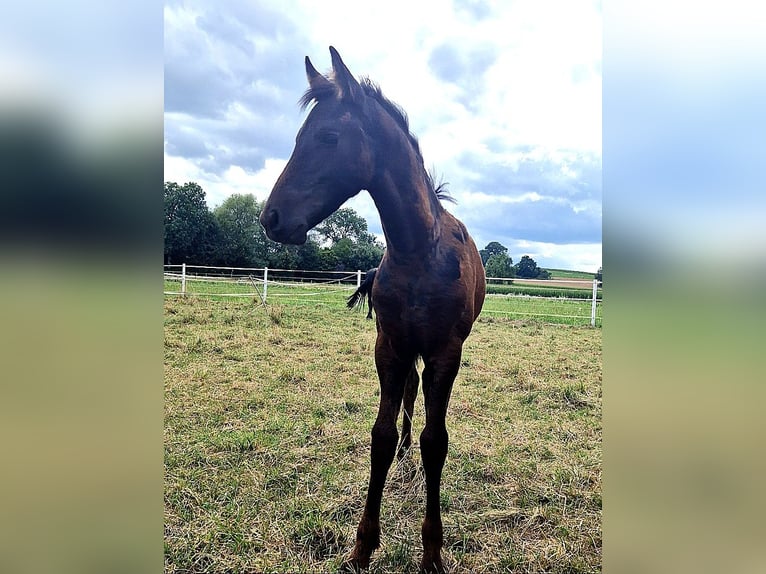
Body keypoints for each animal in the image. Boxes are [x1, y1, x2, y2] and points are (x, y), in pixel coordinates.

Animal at [260, 46, 486, 574]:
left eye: (328, 136)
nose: (270, 218)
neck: (417, 252)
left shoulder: (446, 354)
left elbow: (436, 443)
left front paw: (432, 552)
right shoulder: (390, 347)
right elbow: (380, 436)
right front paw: (362, 547)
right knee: (408, 393)